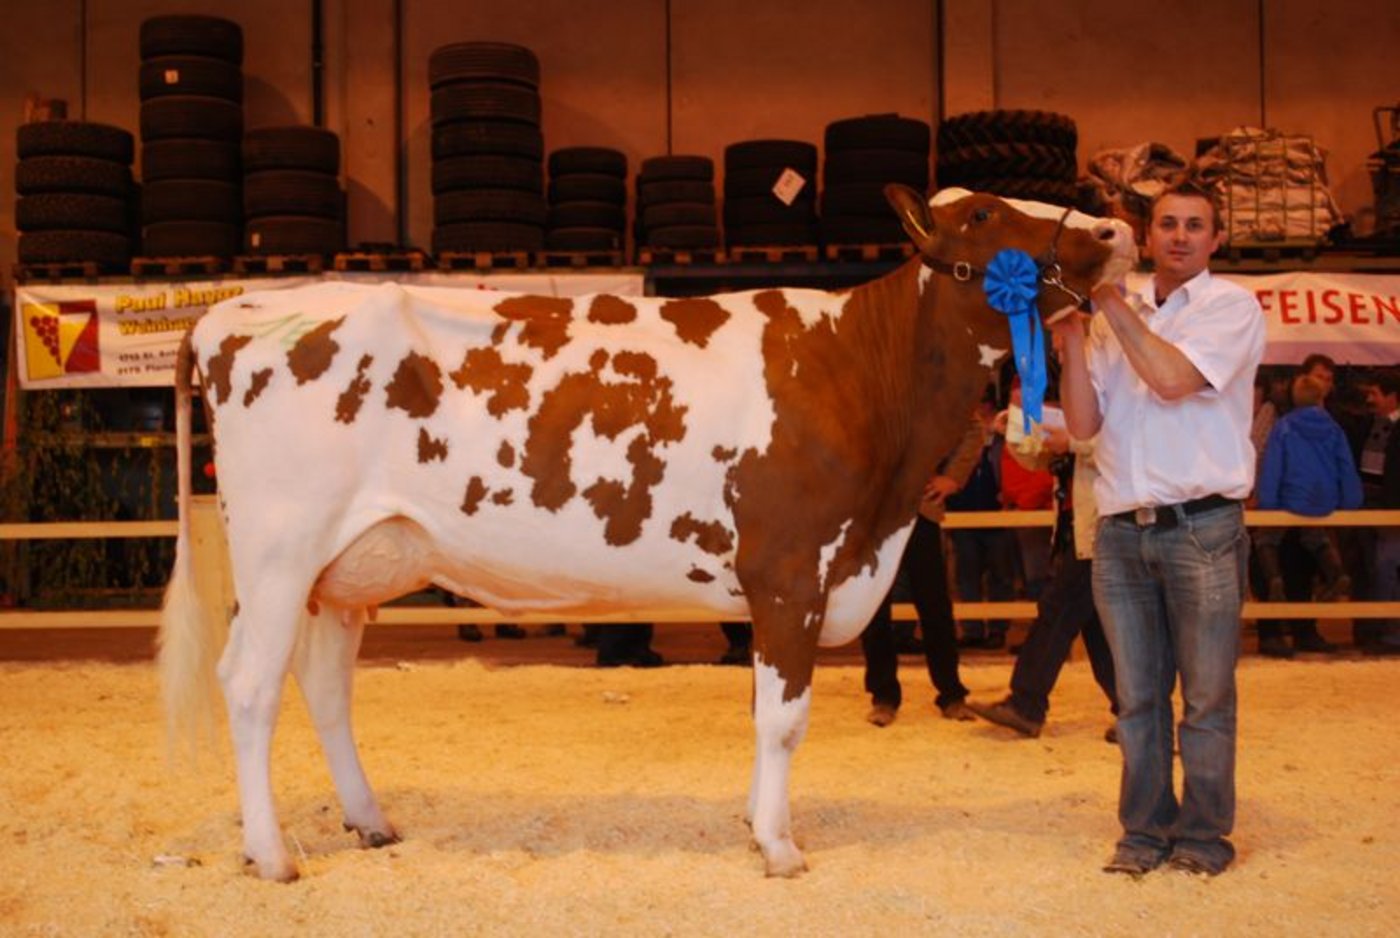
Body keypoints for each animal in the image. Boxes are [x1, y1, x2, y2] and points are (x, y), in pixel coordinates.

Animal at [160, 184, 1136, 881]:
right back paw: (271, 855)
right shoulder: (792, 570)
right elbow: (785, 719)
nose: (1112, 228)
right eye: (983, 215)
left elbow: (763, 713)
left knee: (324, 690)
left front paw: (756, 823)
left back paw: (369, 821)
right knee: (249, 686)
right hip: (280, 552)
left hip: (346, 568)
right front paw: (780, 847)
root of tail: (228, 312)